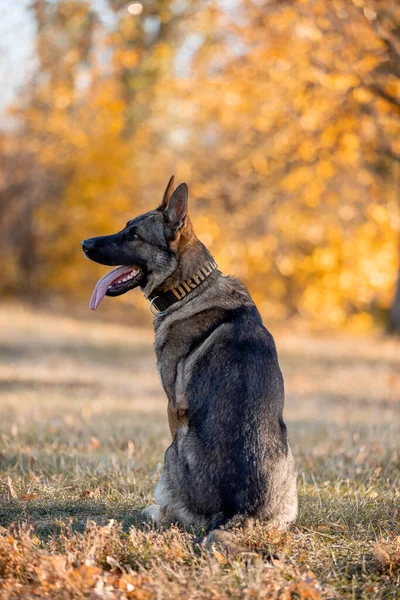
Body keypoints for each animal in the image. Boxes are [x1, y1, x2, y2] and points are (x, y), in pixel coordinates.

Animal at [82, 177, 296, 528]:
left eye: (134, 235)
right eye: (126, 228)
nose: (84, 244)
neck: (190, 287)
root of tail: (235, 511)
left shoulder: (174, 407)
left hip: (173, 448)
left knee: (172, 510)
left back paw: (156, 510)